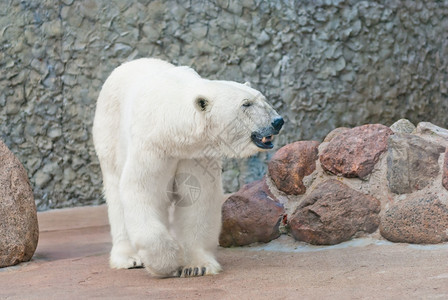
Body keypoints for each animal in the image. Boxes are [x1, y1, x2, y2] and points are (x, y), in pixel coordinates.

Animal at [92, 57, 284, 278]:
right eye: (246, 104)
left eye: (263, 99)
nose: (278, 121)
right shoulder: (151, 147)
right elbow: (142, 191)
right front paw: (168, 261)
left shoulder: (195, 154)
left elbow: (198, 200)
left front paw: (197, 266)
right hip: (110, 133)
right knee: (115, 192)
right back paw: (128, 258)